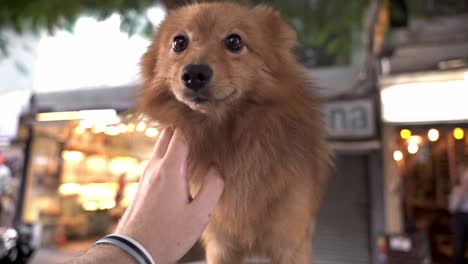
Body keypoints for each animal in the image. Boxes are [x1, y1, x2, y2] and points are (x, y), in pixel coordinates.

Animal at [138, 2, 330, 264]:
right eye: (179, 43)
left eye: (234, 41)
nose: (194, 74)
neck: (229, 138)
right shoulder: (220, 245)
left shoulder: (290, 245)